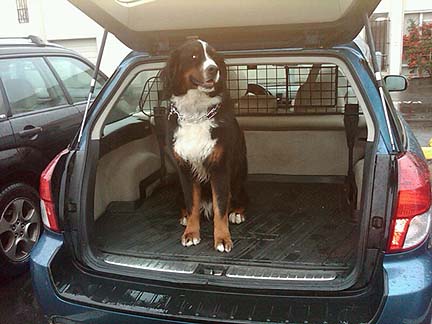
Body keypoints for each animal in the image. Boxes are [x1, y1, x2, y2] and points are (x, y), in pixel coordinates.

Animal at [161, 38, 250, 253]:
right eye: (194, 56)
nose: (213, 69)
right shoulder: (185, 169)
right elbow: (192, 204)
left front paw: (222, 239)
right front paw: (191, 233)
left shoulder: (220, 167)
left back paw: (237, 213)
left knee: (240, 199)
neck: (195, 113)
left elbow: (220, 207)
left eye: (214, 57)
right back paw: (184, 217)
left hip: (238, 176)